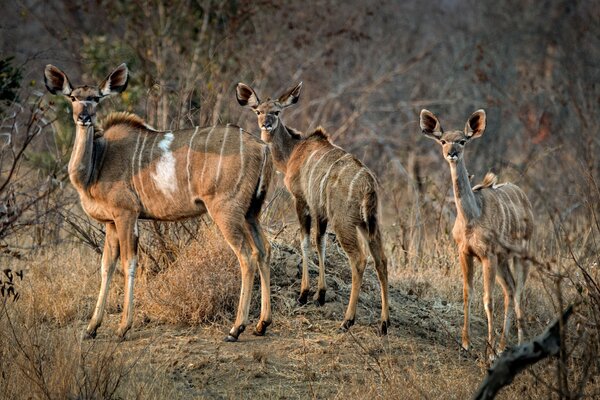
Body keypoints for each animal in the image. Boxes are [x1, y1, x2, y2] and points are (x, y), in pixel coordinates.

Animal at [43, 64, 274, 342]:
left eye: (96, 98)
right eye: (73, 97)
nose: (84, 117)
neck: (98, 162)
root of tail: (262, 147)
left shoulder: (126, 214)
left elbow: (129, 264)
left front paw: (123, 327)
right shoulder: (111, 222)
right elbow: (106, 266)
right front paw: (91, 328)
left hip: (226, 211)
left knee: (246, 256)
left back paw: (235, 329)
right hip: (251, 213)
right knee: (264, 251)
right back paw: (262, 324)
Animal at [237, 81, 392, 334]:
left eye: (277, 112)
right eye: (258, 111)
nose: (266, 125)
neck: (292, 153)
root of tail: (368, 186)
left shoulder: (302, 200)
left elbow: (305, 241)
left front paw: (304, 294)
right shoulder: (321, 211)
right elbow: (321, 243)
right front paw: (320, 295)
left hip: (345, 222)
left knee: (359, 260)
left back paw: (347, 321)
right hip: (371, 224)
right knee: (382, 261)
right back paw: (384, 324)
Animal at [420, 108, 532, 354]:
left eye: (462, 141)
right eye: (443, 141)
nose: (451, 153)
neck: (472, 218)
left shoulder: (487, 254)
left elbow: (488, 299)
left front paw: (489, 350)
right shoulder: (465, 252)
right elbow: (467, 293)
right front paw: (466, 342)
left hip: (521, 255)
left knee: (518, 292)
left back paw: (518, 344)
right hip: (502, 260)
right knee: (510, 290)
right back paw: (503, 344)